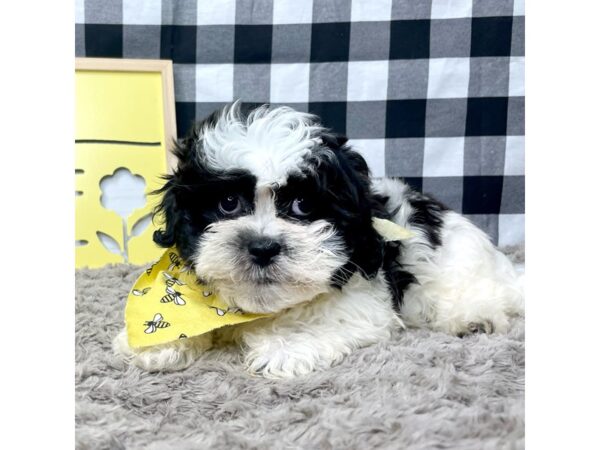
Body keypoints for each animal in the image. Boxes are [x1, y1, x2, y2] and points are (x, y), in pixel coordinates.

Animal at [113, 103, 524, 378]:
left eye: (303, 205)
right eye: (228, 203)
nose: (262, 246)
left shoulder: (367, 299)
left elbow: (337, 321)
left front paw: (286, 345)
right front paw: (160, 343)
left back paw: (476, 319)